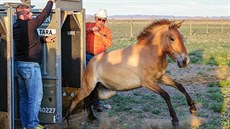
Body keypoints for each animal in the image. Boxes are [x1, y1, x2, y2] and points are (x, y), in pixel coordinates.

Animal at [64, 19, 196, 128]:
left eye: (181, 37)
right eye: (172, 38)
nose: (185, 61)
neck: (148, 53)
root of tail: (91, 62)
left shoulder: (161, 77)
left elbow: (180, 86)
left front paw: (193, 108)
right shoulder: (148, 83)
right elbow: (166, 95)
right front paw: (175, 120)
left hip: (97, 89)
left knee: (89, 101)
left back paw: (92, 118)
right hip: (88, 88)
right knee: (75, 101)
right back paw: (67, 120)